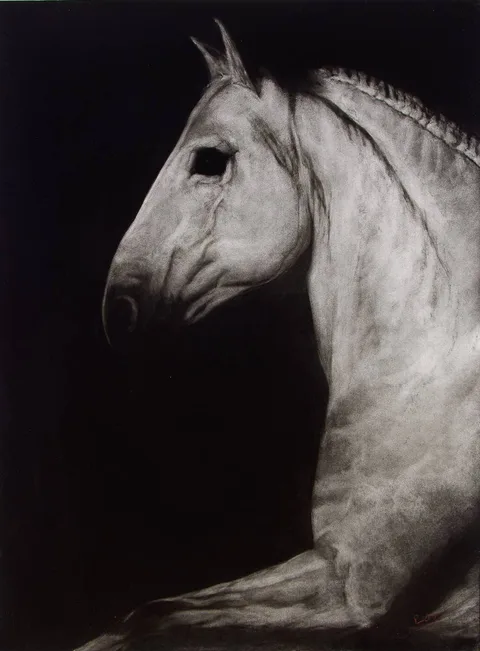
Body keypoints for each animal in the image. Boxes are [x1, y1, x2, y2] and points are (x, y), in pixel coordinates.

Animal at [79, 21, 480, 651]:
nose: (116, 311)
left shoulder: (357, 589)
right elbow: (138, 614)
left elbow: (147, 619)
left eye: (210, 159)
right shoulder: (330, 563)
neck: (425, 370)